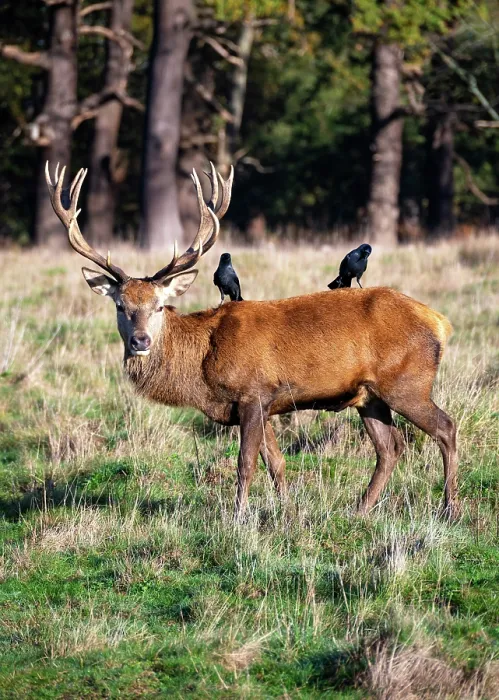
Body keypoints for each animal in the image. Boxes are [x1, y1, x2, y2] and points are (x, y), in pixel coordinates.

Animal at [45, 162, 459, 521]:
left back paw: (449, 508)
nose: (140, 341)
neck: (203, 368)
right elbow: (276, 462)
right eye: (120, 305)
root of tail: (440, 322)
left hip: (406, 382)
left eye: (160, 305)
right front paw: (287, 511)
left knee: (446, 428)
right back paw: (359, 510)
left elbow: (245, 464)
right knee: (390, 448)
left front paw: (238, 517)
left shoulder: (253, 392)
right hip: (369, 396)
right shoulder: (265, 403)